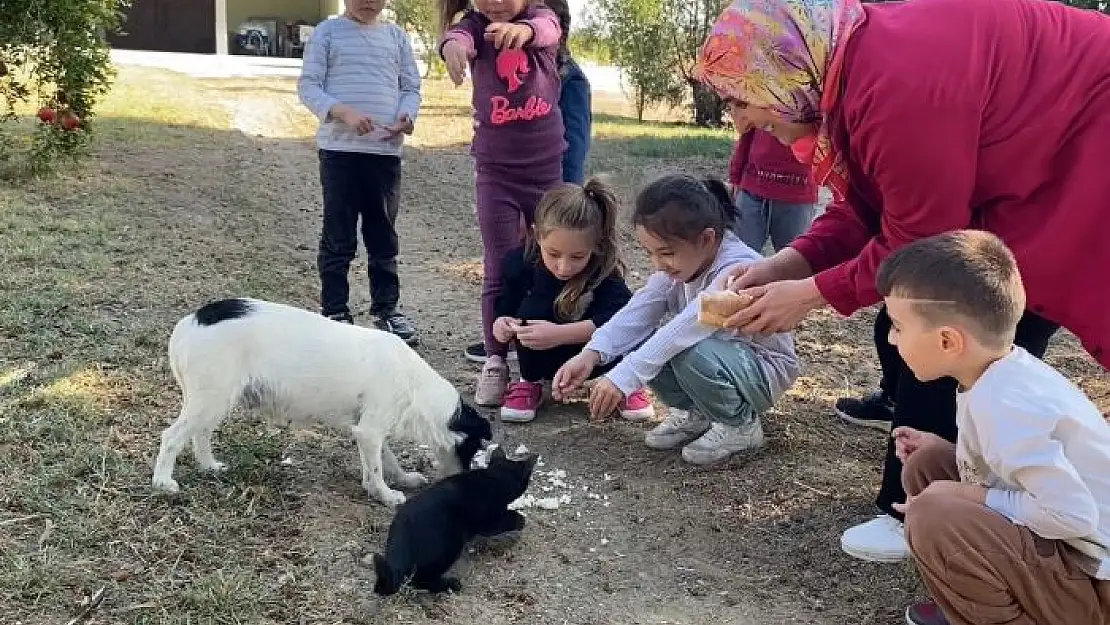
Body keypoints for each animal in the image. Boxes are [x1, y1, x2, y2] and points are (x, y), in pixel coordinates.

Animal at [150, 297, 490, 508]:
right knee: (172, 437)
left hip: (214, 401)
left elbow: (386, 461)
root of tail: (188, 322)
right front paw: (385, 494)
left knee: (200, 434)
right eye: (474, 448)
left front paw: (400, 480)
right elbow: (377, 468)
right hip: (212, 398)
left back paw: (209, 466)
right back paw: (163, 482)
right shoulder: (370, 432)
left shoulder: (368, 430)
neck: (415, 384)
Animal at [375, 444, 539, 595]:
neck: (494, 478)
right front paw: (520, 519)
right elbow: (509, 519)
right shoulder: (490, 521)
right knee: (421, 579)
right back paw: (450, 585)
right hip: (447, 546)